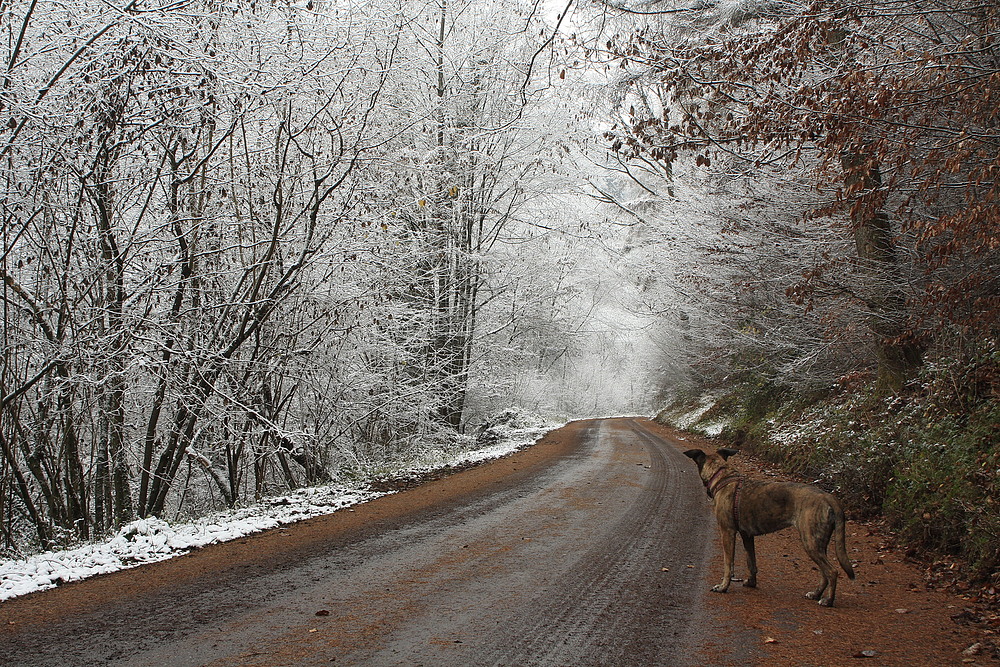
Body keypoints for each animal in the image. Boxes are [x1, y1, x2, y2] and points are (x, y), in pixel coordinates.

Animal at [684, 446, 856, 608]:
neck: (722, 476)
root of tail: (828, 496)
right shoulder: (747, 536)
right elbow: (751, 562)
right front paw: (751, 582)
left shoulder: (727, 532)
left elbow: (728, 564)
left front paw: (723, 586)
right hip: (818, 543)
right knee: (823, 572)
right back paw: (816, 593)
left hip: (810, 542)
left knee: (832, 571)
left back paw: (828, 600)